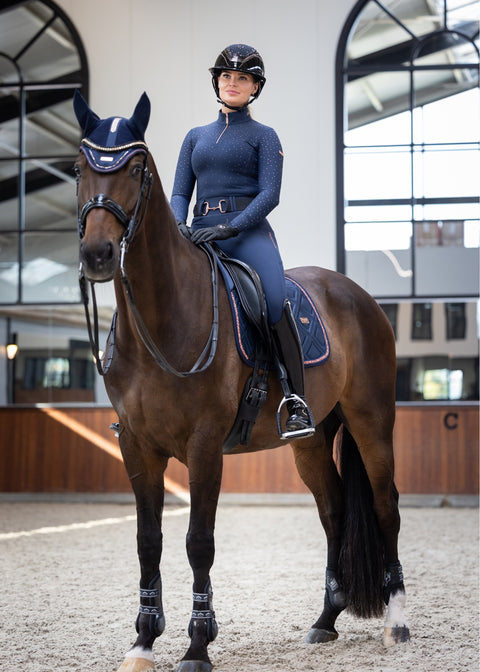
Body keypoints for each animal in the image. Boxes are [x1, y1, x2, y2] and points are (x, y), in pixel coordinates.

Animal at [74, 93, 408, 672]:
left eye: (136, 169)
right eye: (78, 168)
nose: (98, 254)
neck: (162, 321)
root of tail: (357, 294)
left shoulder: (205, 444)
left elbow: (198, 542)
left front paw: (198, 645)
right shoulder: (137, 445)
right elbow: (148, 540)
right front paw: (143, 641)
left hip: (371, 421)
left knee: (386, 506)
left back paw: (397, 623)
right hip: (312, 439)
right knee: (334, 510)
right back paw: (325, 621)